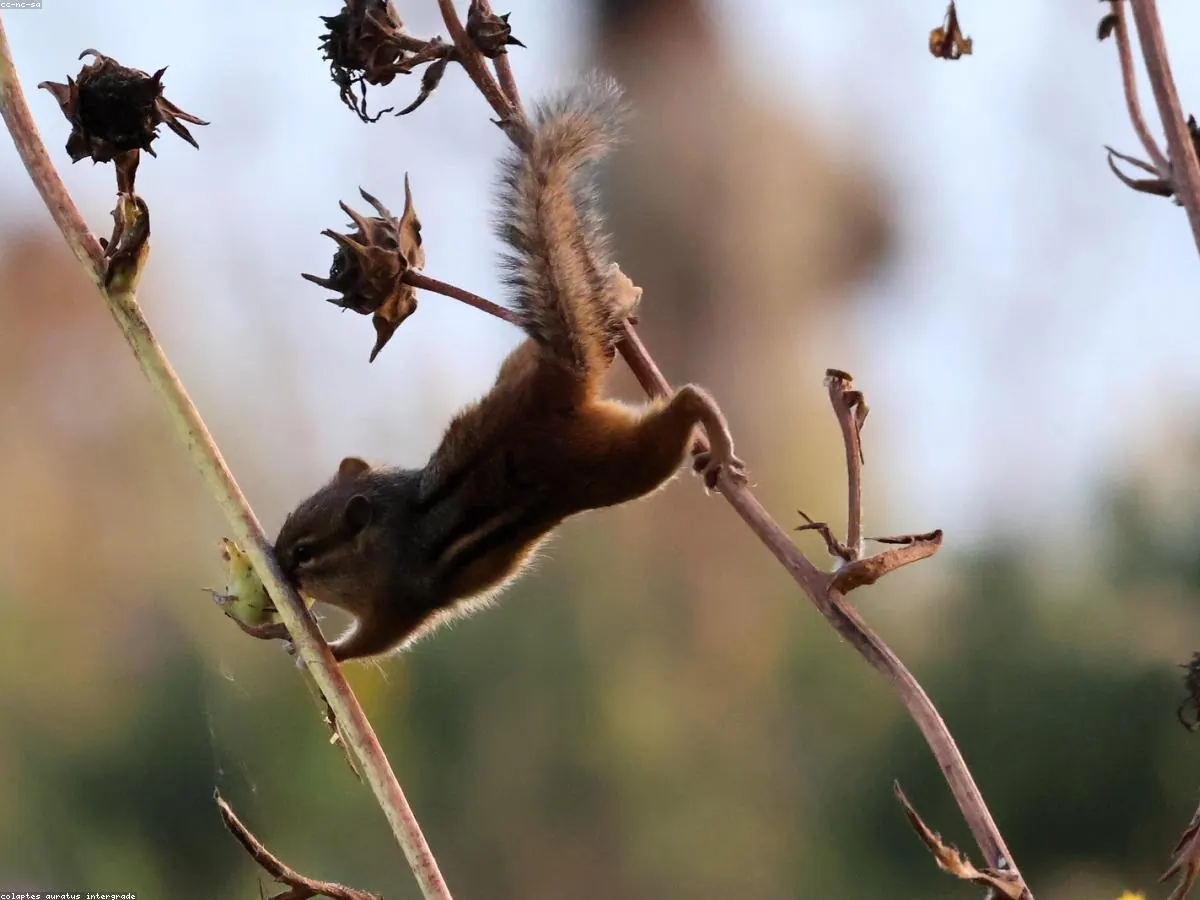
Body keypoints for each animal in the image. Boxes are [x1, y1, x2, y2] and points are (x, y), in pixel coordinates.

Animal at [271, 76, 746, 663]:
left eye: (305, 552)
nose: (276, 564)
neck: (386, 536)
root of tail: (558, 379)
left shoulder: (399, 605)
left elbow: (374, 644)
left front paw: (316, 650)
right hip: (522, 362)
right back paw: (615, 298)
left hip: (623, 466)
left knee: (684, 403)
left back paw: (717, 444)